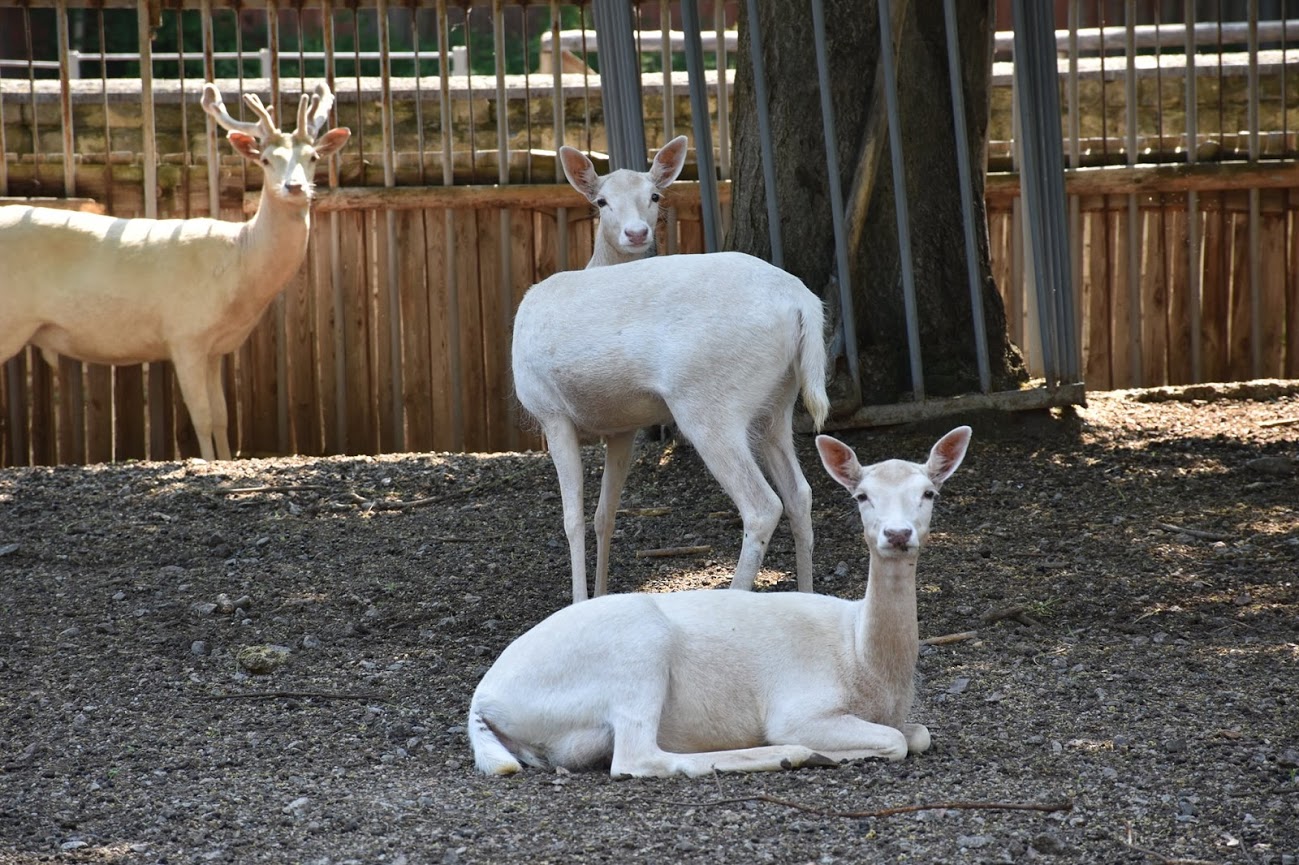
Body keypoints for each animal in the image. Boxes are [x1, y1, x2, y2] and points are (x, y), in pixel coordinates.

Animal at [0, 82, 350, 457]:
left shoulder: (215, 347)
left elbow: (223, 416)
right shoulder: (185, 332)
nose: (295, 187)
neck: (238, 272)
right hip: (10, 318)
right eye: (267, 159)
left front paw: (226, 459)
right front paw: (208, 461)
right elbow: (203, 417)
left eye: (313, 157)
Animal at [470, 423, 976, 774]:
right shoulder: (800, 706)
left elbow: (919, 734)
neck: (867, 664)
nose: (897, 534)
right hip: (635, 652)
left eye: (929, 493)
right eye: (862, 496)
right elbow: (896, 741)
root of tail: (482, 701)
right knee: (637, 758)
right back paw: (790, 754)